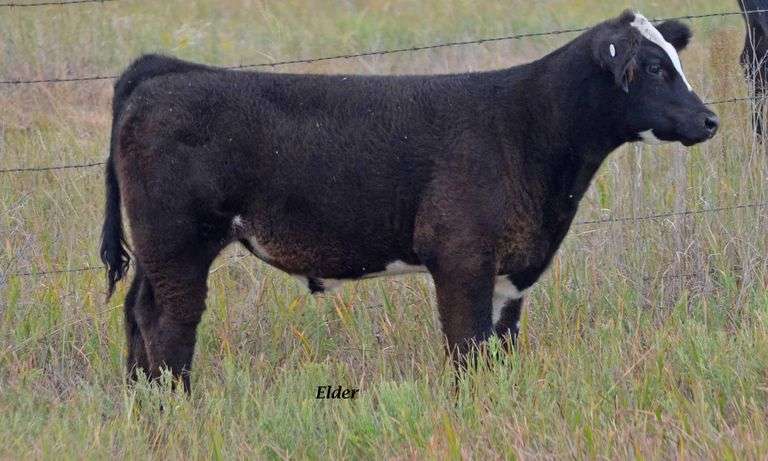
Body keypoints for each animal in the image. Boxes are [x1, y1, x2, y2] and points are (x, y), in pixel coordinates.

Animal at [101, 10, 718, 392]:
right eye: (654, 67)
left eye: (675, 59)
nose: (709, 119)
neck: (525, 128)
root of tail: (166, 71)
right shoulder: (461, 258)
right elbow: (466, 347)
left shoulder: (508, 273)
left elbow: (498, 350)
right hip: (178, 245)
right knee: (168, 323)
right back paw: (175, 406)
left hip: (156, 253)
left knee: (137, 315)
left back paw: (143, 402)